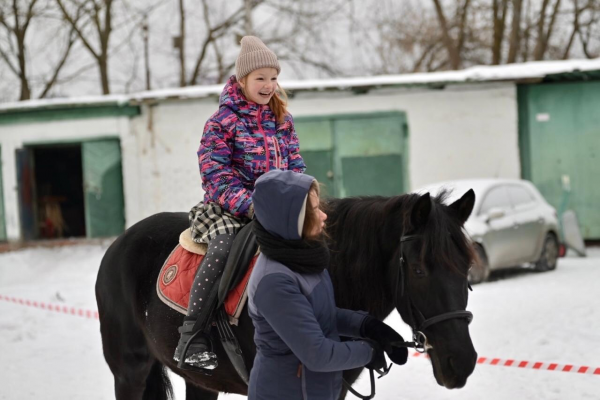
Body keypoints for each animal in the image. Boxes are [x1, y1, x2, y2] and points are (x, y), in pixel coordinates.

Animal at [95, 190, 478, 400]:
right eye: (419, 270)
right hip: (129, 373)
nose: (462, 362)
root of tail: (118, 244)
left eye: (466, 268)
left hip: (201, 381)